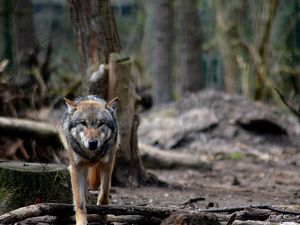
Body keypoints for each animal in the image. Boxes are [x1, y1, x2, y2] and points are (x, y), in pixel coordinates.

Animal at [61, 95, 119, 225]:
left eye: (101, 124)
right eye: (83, 123)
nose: (93, 143)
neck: (92, 155)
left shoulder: (107, 164)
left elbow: (104, 195)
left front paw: (103, 217)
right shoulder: (76, 168)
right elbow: (79, 201)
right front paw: (81, 221)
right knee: (84, 191)